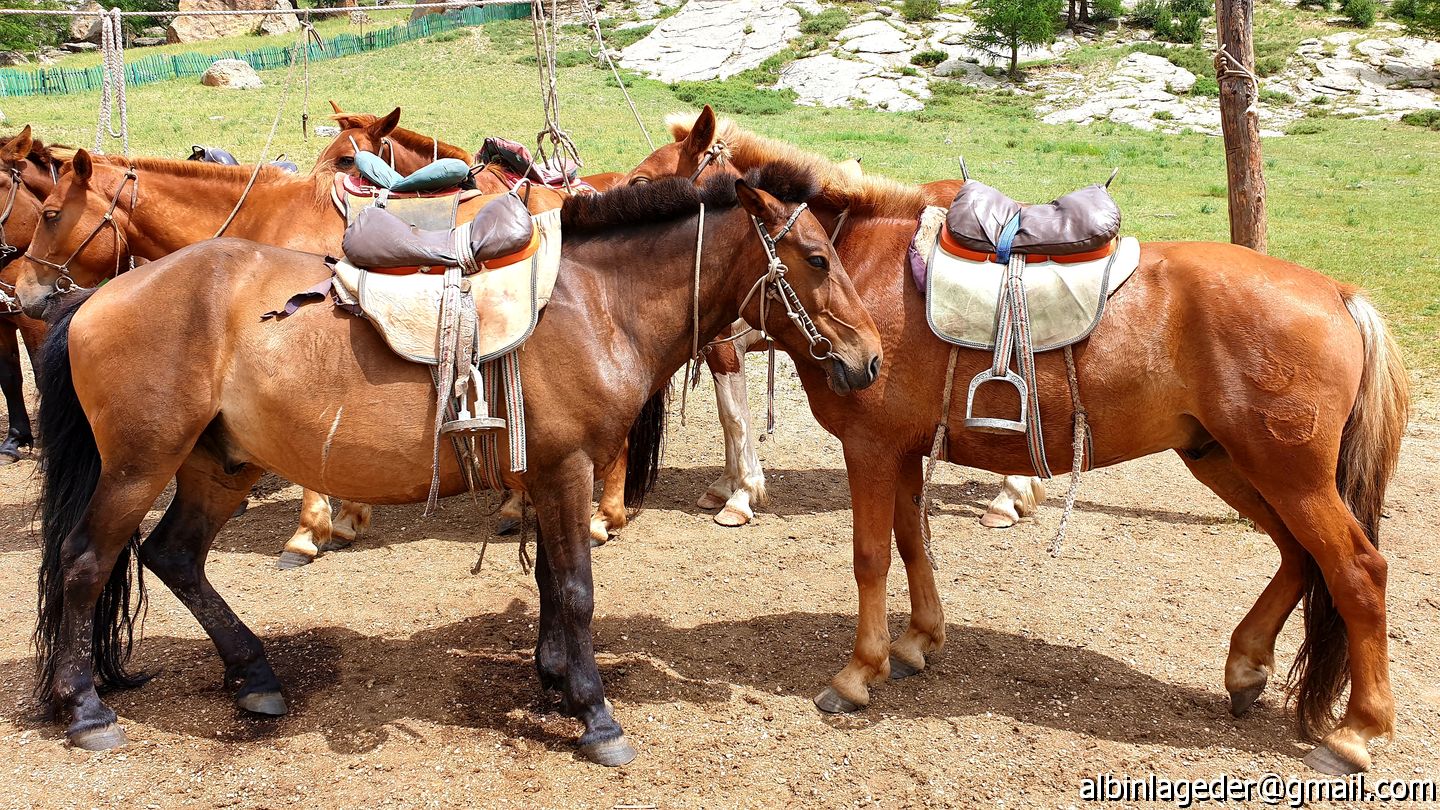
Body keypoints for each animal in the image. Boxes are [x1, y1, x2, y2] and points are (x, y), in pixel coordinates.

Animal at [622, 110, 1409, 774]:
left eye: (643, 186)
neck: (858, 264)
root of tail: (1339, 294)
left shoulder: (870, 448)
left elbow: (872, 556)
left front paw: (857, 672)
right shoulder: (903, 450)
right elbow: (912, 542)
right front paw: (917, 642)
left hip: (1289, 474)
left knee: (1357, 571)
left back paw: (1357, 731)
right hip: (1229, 461)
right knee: (1298, 557)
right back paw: (1246, 667)